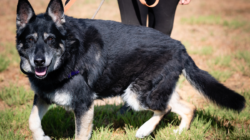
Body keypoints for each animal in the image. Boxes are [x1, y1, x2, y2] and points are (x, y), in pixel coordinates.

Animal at [16, 0, 246, 139]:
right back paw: (179, 132)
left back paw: (144, 130)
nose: (39, 62)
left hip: (137, 94)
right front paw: (42, 136)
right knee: (187, 107)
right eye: (30, 40)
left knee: (165, 108)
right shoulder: (44, 96)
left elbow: (80, 134)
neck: (67, 55)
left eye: (50, 39)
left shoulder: (83, 105)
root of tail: (180, 47)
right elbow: (32, 121)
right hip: (153, 89)